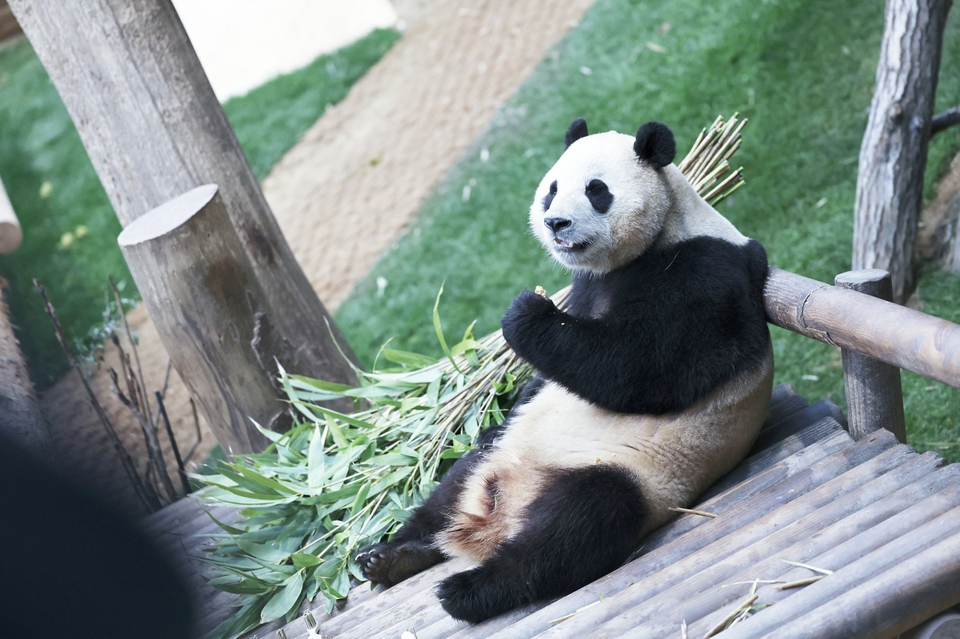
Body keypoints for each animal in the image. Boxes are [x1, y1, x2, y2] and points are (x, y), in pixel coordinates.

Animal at [358, 117, 772, 624]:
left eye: (597, 190)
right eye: (551, 190)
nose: (556, 223)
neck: (663, 233)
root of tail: (498, 521)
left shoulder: (704, 274)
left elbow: (644, 366)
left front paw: (525, 312)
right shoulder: (587, 284)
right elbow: (552, 375)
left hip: (636, 472)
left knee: (576, 524)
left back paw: (468, 590)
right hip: (499, 458)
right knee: (450, 490)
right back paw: (391, 556)